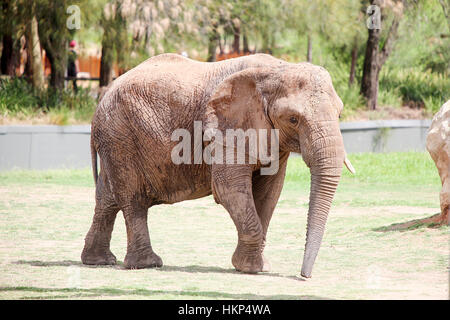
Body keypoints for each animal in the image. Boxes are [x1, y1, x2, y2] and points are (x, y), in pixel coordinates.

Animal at [81, 53, 356, 278]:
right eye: (293, 119)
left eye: (340, 113)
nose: (304, 276)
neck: (277, 68)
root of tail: (100, 101)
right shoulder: (227, 127)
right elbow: (229, 189)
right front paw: (252, 268)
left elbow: (269, 192)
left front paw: (256, 267)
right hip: (121, 138)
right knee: (132, 198)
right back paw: (147, 264)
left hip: (115, 139)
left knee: (108, 198)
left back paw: (98, 261)